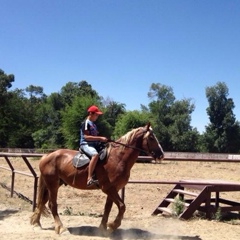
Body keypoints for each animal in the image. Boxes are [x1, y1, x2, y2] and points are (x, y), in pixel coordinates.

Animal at [30, 123, 164, 235]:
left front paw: (103, 228)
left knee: (42, 202)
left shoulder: (113, 189)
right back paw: (61, 228)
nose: (161, 154)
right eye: (151, 138)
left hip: (54, 184)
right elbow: (122, 206)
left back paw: (36, 223)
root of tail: (47, 156)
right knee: (52, 204)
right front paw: (112, 225)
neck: (117, 158)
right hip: (52, 184)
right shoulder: (108, 188)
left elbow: (107, 208)